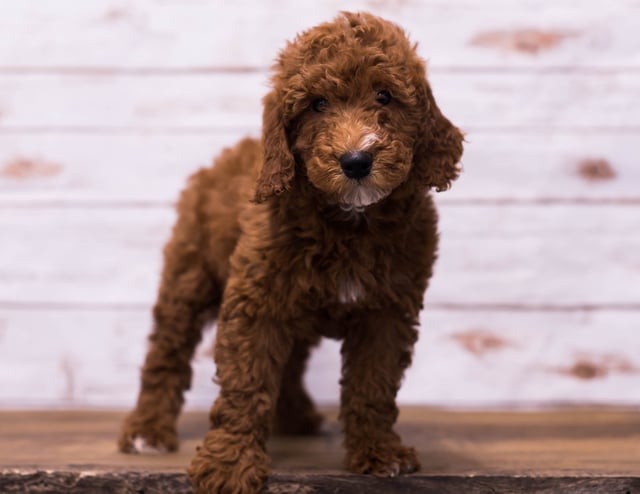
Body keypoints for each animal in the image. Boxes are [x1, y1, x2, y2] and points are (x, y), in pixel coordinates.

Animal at [117, 11, 462, 494]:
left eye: (385, 96)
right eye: (317, 104)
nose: (356, 161)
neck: (349, 221)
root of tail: (220, 159)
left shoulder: (388, 311)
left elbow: (374, 385)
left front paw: (380, 452)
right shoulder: (256, 301)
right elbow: (247, 380)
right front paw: (230, 463)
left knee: (293, 361)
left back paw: (296, 417)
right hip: (189, 275)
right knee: (166, 351)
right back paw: (148, 431)